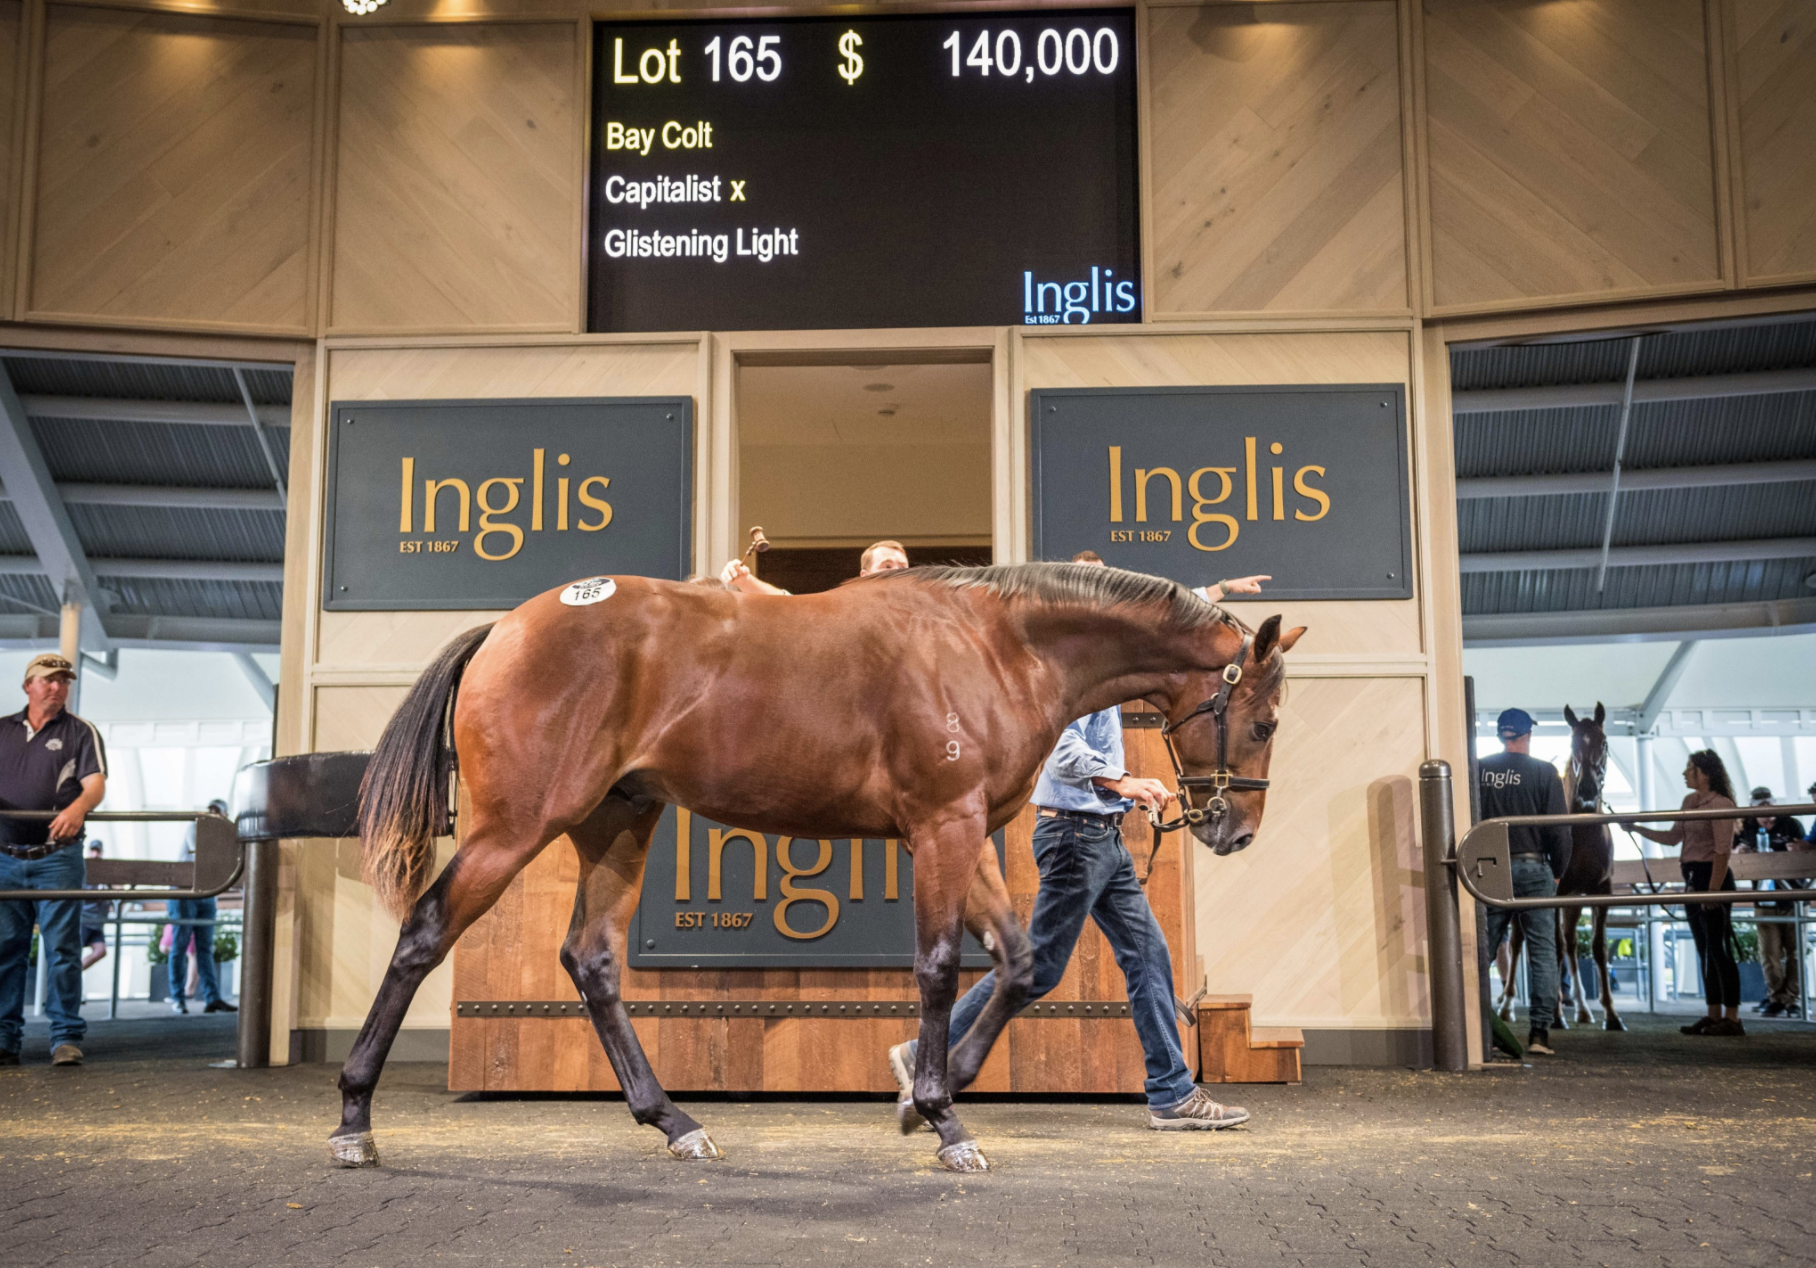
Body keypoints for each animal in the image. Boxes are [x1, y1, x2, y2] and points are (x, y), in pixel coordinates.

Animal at [334, 563, 1300, 1162]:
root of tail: (507, 626)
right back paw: (352, 1117)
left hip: (618, 822)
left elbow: (1021, 964)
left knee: (591, 960)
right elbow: (940, 967)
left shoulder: (969, 831)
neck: (994, 644)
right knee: (425, 934)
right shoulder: (941, 828)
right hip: (518, 826)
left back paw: (674, 1121)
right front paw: (945, 1120)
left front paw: (923, 1097)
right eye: (1263, 721)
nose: (1235, 830)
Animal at [1496, 701, 1627, 1024]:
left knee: (1570, 941)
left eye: (1604, 743)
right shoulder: (1553, 893)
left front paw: (1611, 1013)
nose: (1588, 791)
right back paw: (1508, 1005)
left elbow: (1597, 948)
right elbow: (1551, 946)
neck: (1582, 834)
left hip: (1574, 898)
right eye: (1573, 743)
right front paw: (1554, 1014)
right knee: (1519, 942)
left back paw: (1582, 1008)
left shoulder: (1602, 892)